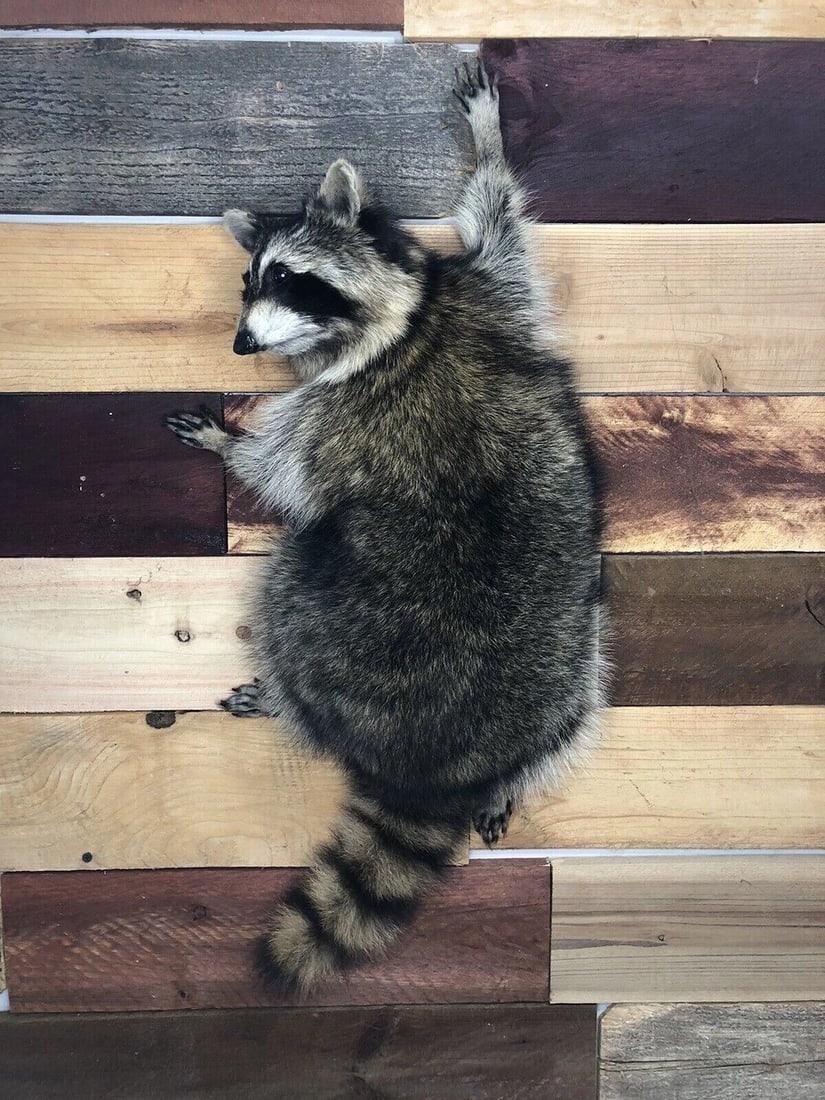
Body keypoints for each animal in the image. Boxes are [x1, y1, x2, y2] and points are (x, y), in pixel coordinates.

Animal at [166, 61, 606, 994]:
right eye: (247, 283)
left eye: (287, 277)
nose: (239, 345)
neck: (401, 325)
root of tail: (436, 767)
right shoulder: (476, 303)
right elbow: (502, 231)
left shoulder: (352, 394)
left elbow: (500, 221)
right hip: (573, 663)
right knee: (577, 697)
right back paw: (517, 772)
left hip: (329, 616)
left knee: (288, 581)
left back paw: (287, 697)